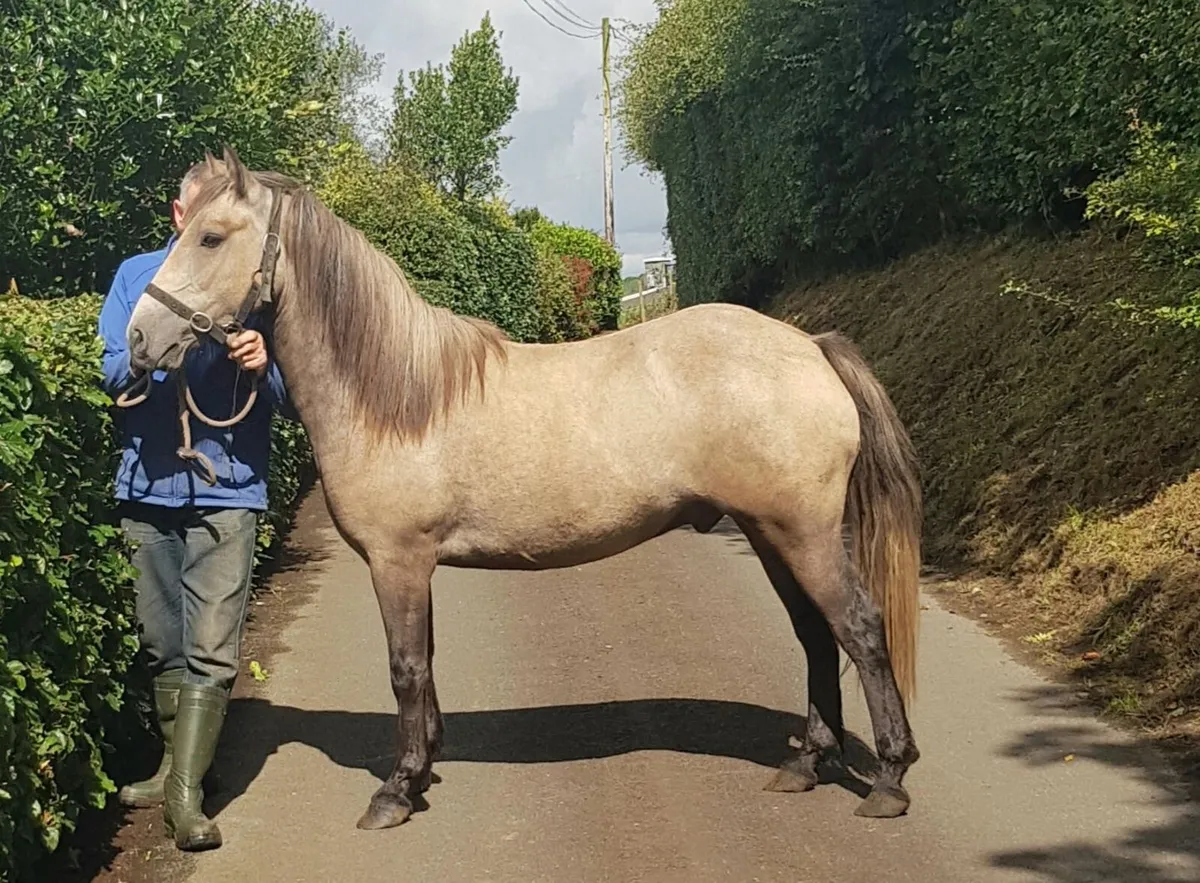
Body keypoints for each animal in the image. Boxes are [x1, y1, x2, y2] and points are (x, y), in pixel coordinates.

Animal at [123, 148, 923, 831]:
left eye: (211, 237)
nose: (137, 340)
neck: (396, 395)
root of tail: (810, 346)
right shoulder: (415, 566)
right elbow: (425, 663)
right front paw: (423, 770)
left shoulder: (397, 561)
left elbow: (406, 668)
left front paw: (395, 791)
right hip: (769, 532)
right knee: (816, 635)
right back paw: (807, 765)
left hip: (803, 533)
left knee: (858, 628)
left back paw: (889, 779)